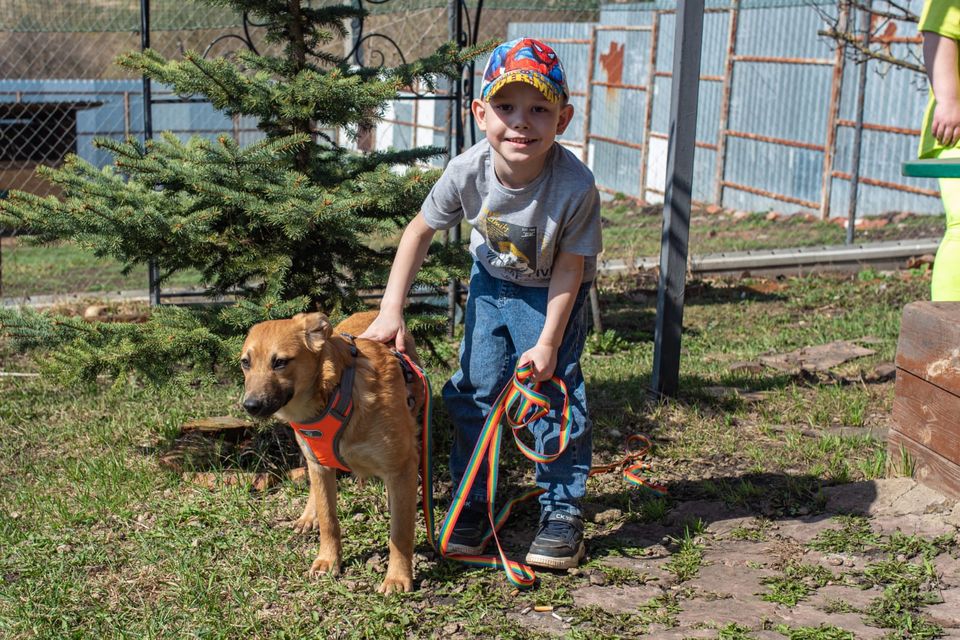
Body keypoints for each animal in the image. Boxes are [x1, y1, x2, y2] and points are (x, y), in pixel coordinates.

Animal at [238, 308, 422, 592]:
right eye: (245, 363)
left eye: (280, 362)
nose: (250, 406)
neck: (335, 394)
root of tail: (371, 310)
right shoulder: (320, 463)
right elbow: (328, 520)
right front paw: (328, 560)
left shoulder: (402, 466)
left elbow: (400, 534)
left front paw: (397, 577)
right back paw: (308, 516)